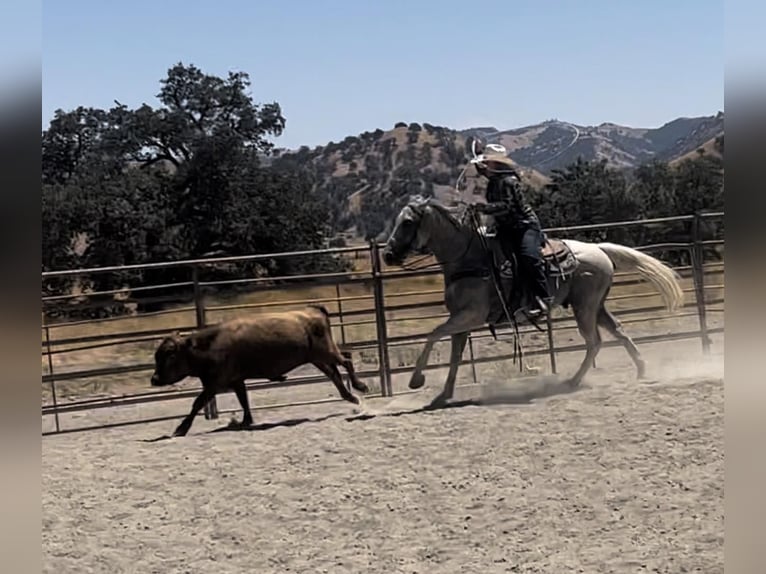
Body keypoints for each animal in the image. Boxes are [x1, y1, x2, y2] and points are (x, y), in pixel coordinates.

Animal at [384, 196, 684, 408]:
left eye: (407, 222)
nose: (387, 254)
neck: (468, 257)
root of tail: (599, 249)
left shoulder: (471, 315)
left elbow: (433, 335)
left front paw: (416, 380)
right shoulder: (461, 320)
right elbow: (455, 356)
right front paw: (443, 395)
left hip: (585, 307)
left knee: (594, 342)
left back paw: (573, 381)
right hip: (596, 306)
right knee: (619, 331)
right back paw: (641, 369)